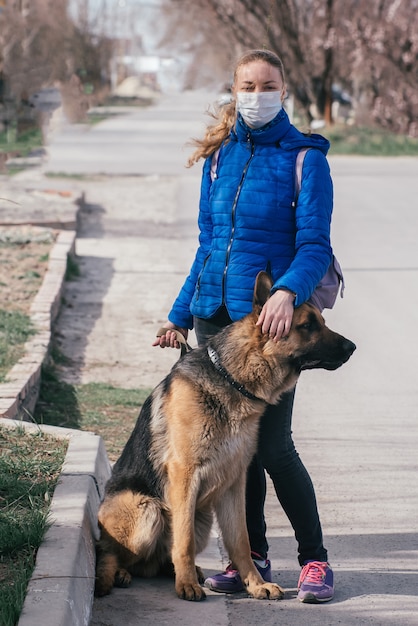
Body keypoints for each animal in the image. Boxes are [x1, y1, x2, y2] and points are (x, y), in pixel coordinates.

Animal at [95, 272, 356, 600]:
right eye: (307, 325)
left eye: (321, 321)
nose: (353, 347)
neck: (231, 378)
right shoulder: (184, 475)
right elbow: (184, 541)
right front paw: (187, 585)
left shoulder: (235, 481)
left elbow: (241, 540)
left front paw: (255, 584)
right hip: (148, 510)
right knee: (110, 551)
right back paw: (123, 573)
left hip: (201, 517)